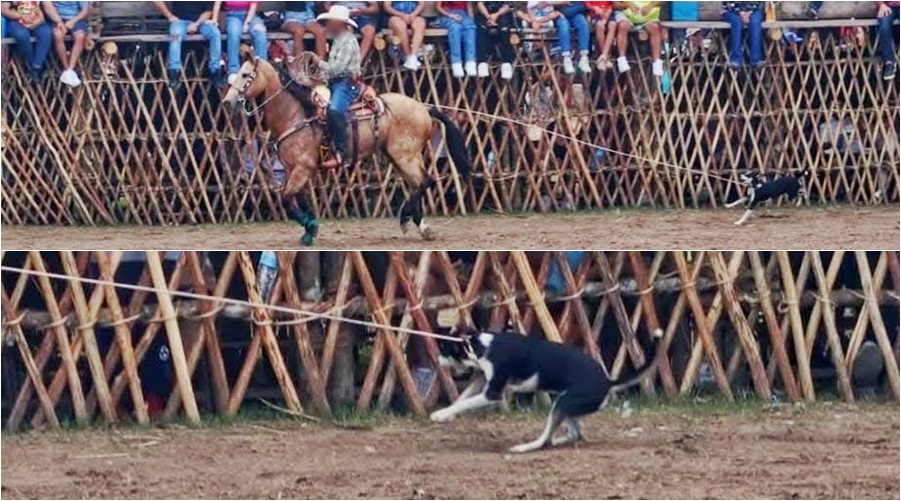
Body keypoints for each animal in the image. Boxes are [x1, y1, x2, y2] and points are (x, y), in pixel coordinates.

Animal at [221, 55, 472, 246]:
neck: (297, 113)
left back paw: (407, 220)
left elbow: (286, 199)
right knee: (418, 184)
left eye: (245, 75)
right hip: (398, 157)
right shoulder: (295, 170)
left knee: (425, 181)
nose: (226, 101)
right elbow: (298, 200)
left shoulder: (302, 168)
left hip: (405, 156)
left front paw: (309, 229)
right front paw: (310, 229)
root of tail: (424, 108)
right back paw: (421, 227)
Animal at [432, 326, 656, 452]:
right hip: (566, 405)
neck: (481, 346)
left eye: (443, 349)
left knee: (545, 439)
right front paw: (446, 414)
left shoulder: (491, 393)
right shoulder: (482, 380)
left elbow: (465, 402)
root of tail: (608, 381)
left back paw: (526, 447)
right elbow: (463, 397)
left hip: (564, 403)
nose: (436, 360)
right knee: (574, 434)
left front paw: (440, 414)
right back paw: (557, 440)